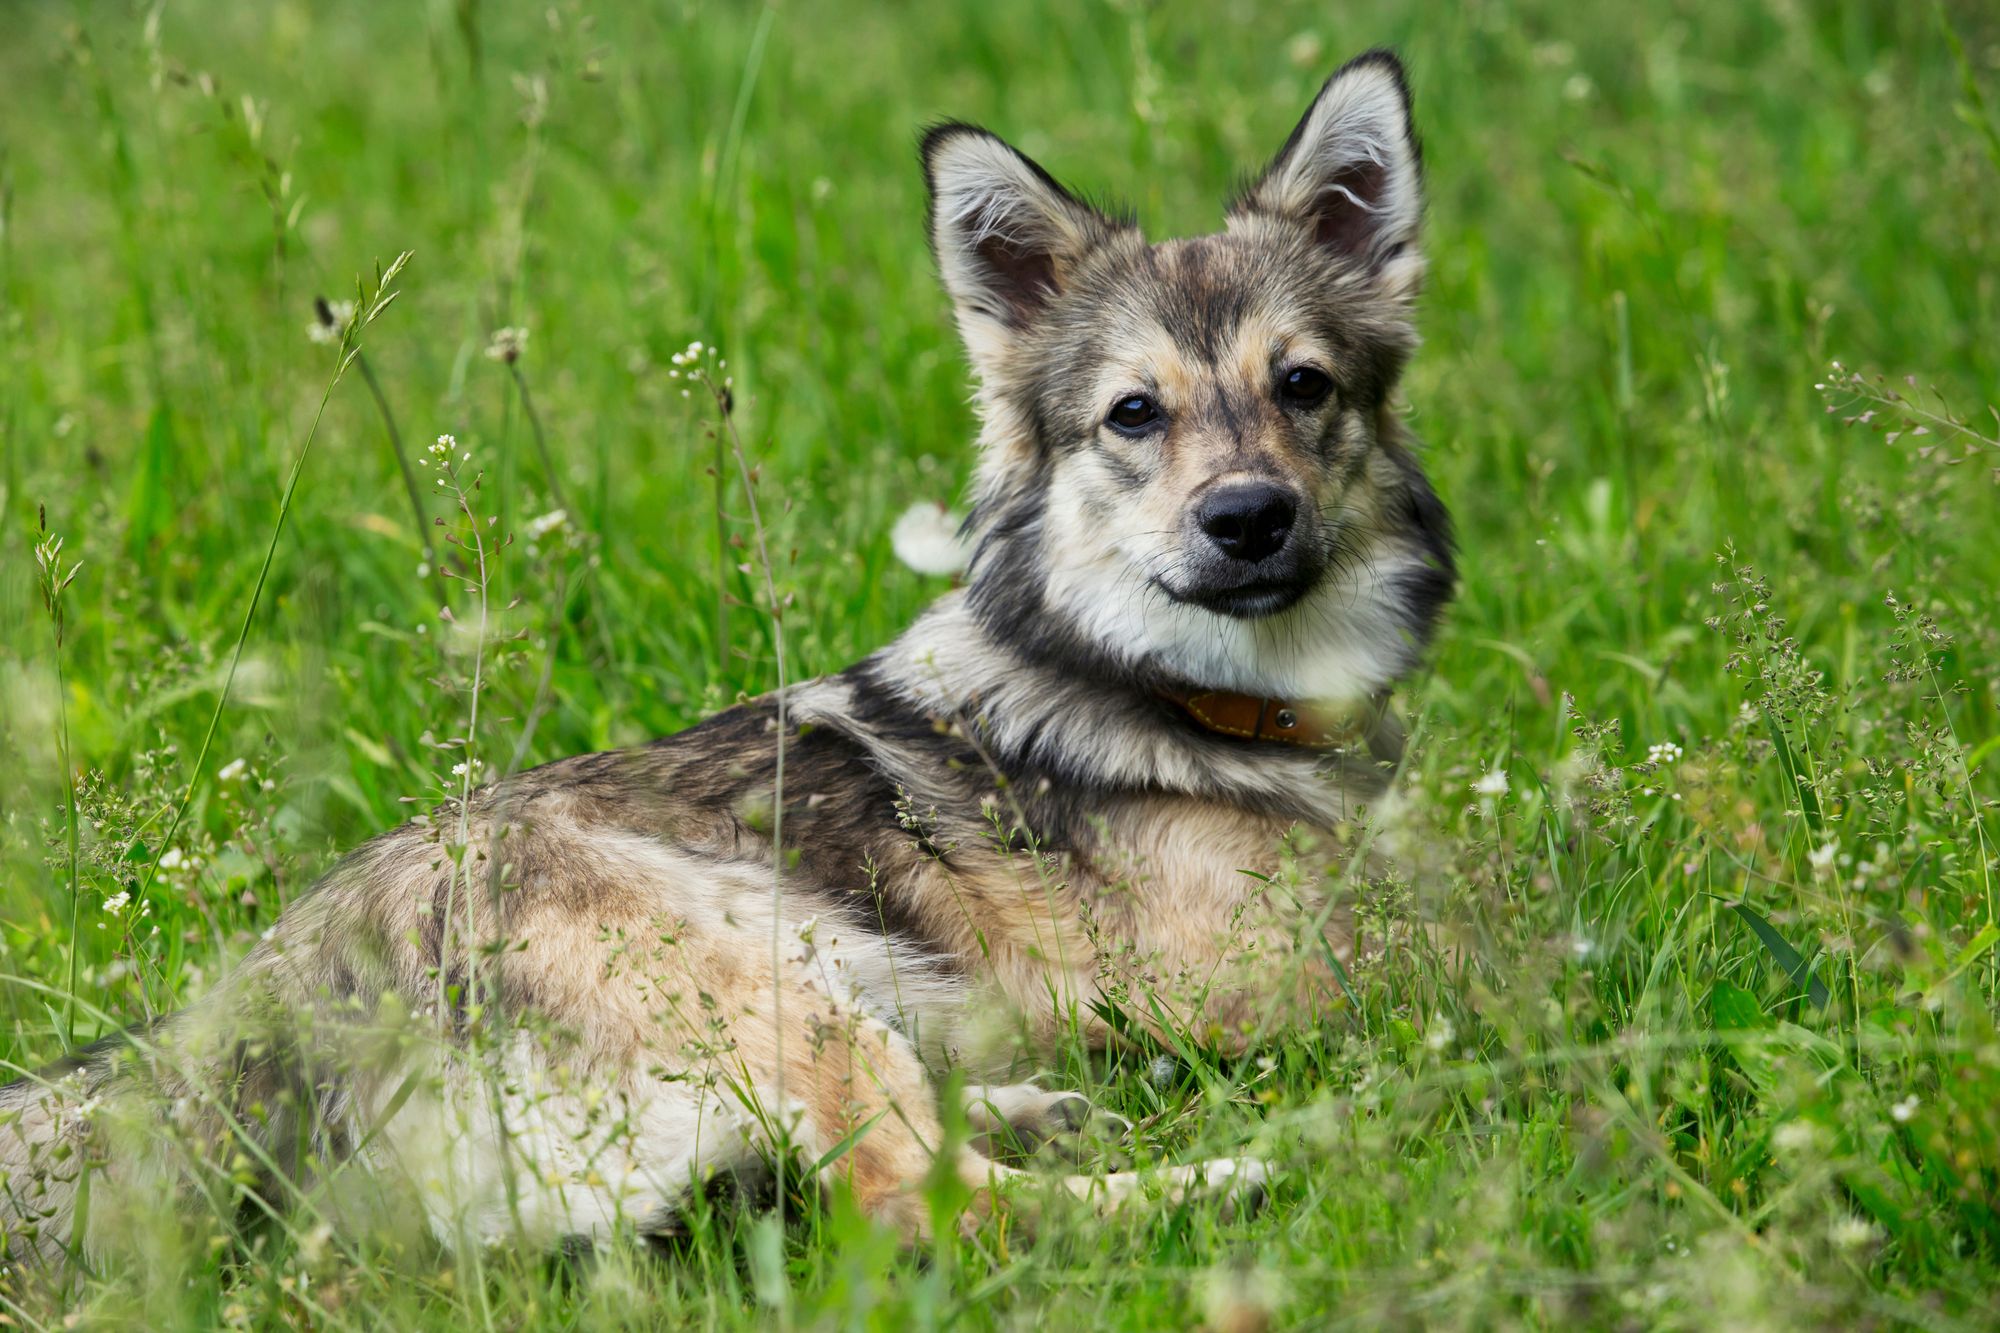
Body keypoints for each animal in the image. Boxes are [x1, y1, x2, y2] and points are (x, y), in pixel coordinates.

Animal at [0, 46, 1456, 1264]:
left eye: (1304, 386)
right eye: (1134, 415)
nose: (1248, 516)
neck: (1192, 694)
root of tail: (236, 1029)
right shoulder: (1265, 977)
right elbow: (1490, 954)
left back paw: (1043, 1108)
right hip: (767, 961)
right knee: (914, 1202)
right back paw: (1236, 1172)